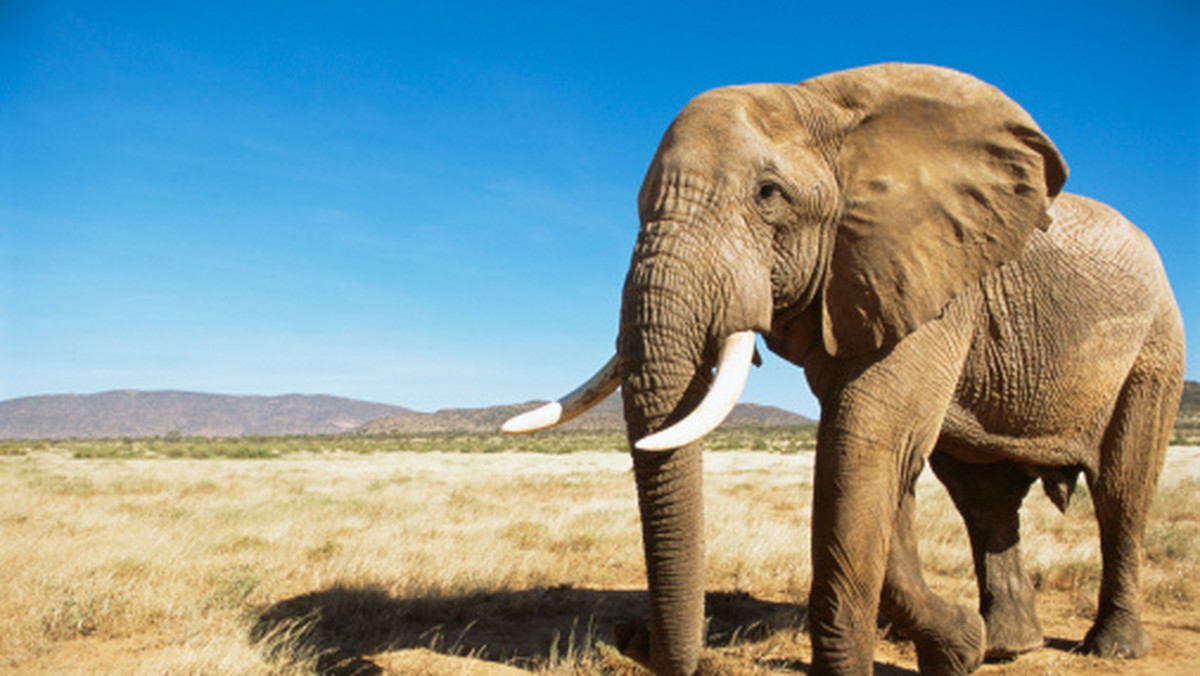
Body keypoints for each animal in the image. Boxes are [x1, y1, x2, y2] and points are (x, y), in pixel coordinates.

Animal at [499, 63, 1180, 676]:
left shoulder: (928, 279)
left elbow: (864, 448)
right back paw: (1008, 647)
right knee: (983, 498)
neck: (822, 103)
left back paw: (1111, 649)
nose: (629, 636)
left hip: (1156, 346)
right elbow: (879, 463)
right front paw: (959, 648)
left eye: (768, 195)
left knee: (1122, 488)